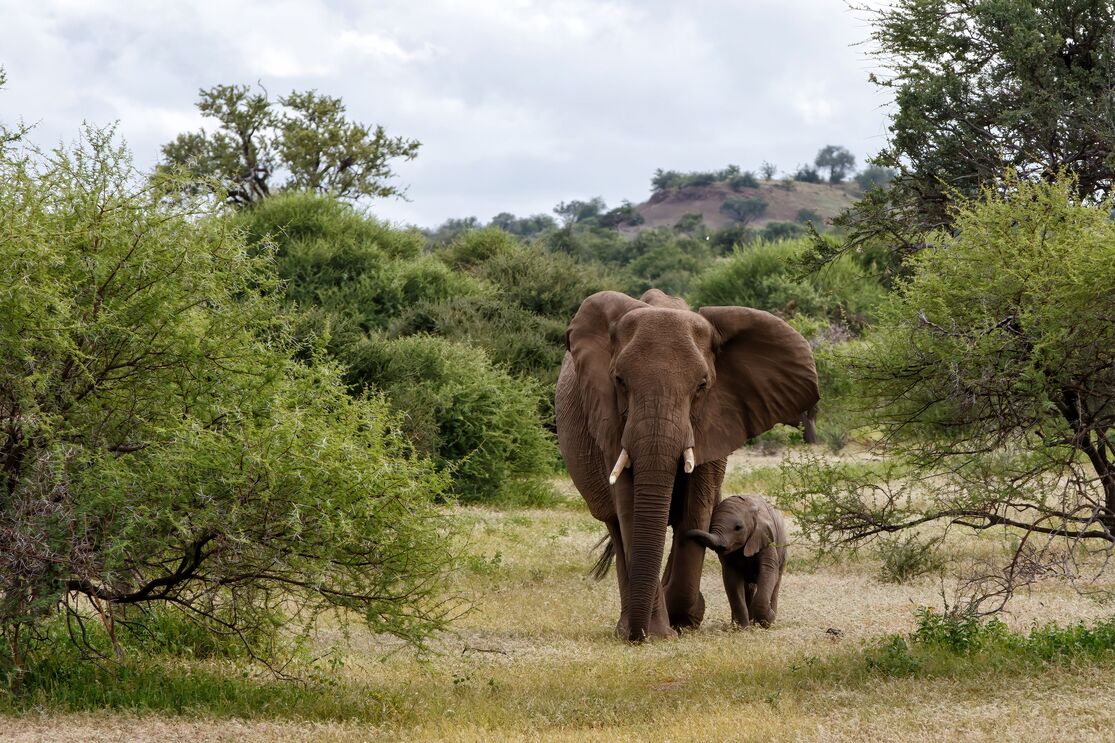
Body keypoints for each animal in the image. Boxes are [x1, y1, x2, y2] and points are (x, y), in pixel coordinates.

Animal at [685, 495, 788, 628]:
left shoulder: (766, 539)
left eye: (738, 528)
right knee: (749, 587)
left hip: (783, 549)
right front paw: (741, 628)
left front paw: (768, 620)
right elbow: (732, 580)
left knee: (776, 581)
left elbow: (768, 571)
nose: (686, 535)